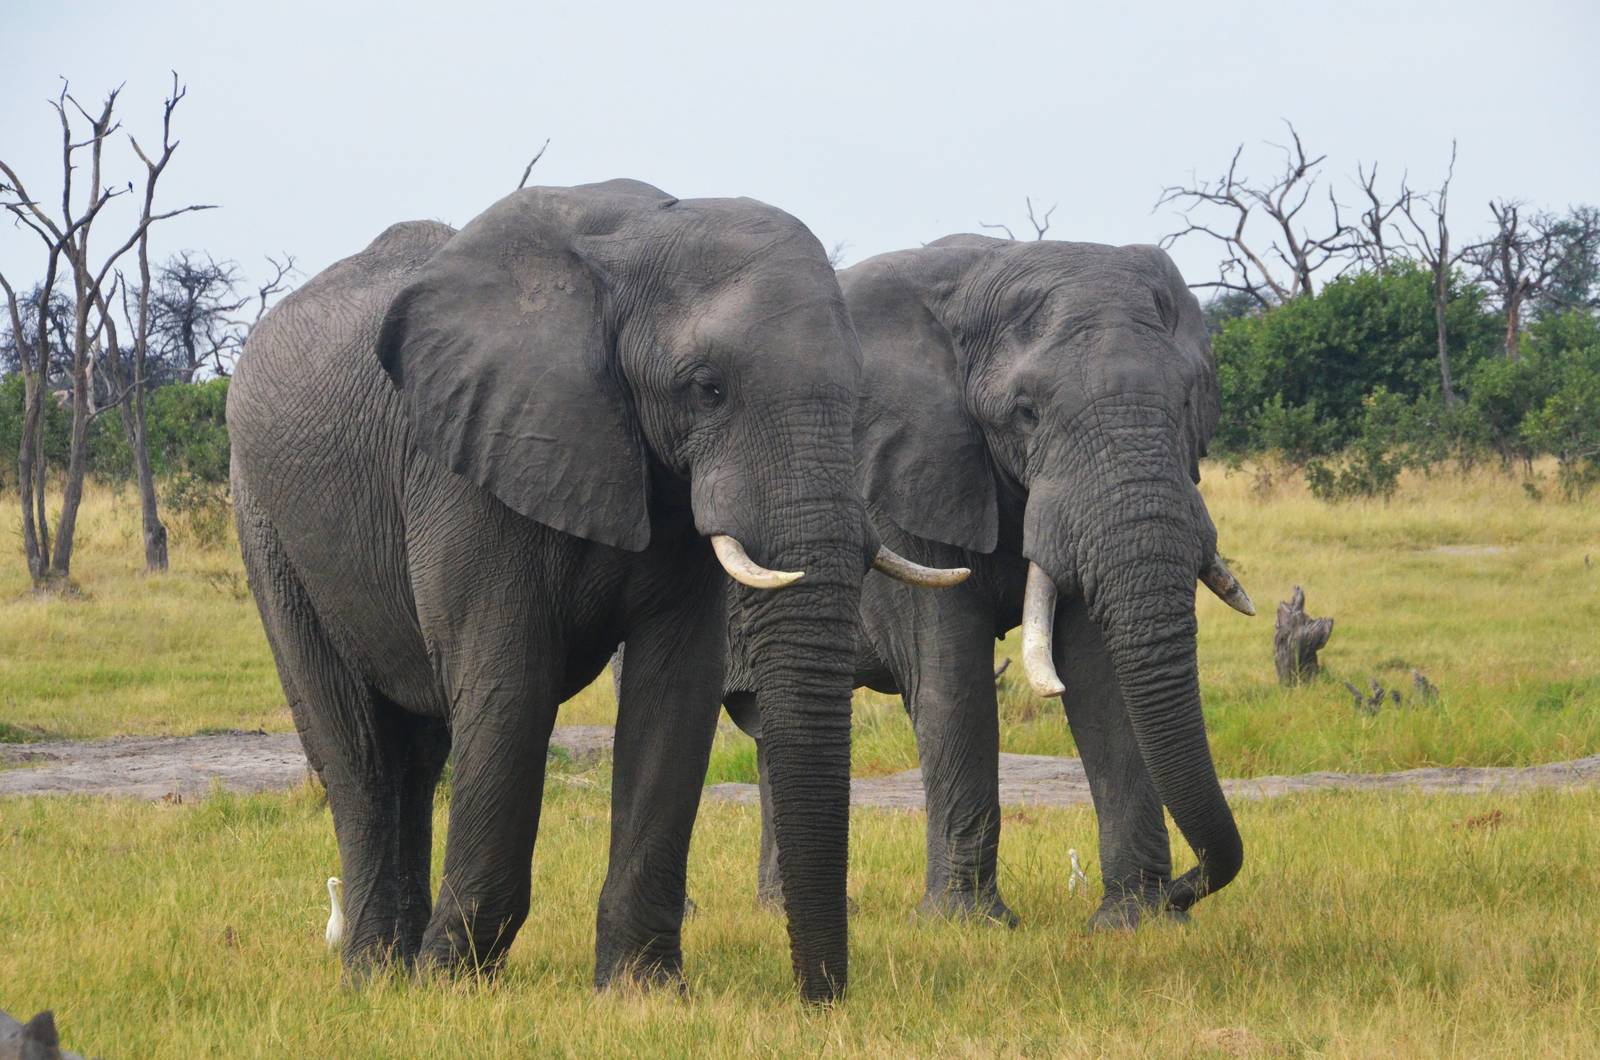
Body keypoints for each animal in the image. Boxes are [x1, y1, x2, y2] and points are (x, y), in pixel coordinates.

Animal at [226, 179, 964, 1003]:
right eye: (707, 389)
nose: (821, 1000)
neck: (632, 246)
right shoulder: (469, 463)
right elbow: (508, 687)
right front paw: (453, 985)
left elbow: (675, 689)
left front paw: (642, 992)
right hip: (266, 523)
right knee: (359, 752)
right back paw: (380, 975)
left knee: (416, 755)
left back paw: (394, 966)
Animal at [669, 234, 1254, 930]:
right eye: (1026, 412)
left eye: (1189, 403)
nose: (1187, 888)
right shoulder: (894, 483)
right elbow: (952, 678)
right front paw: (967, 924)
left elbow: (1100, 682)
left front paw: (1136, 922)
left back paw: (782, 908)